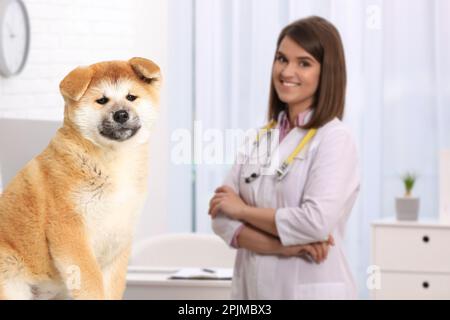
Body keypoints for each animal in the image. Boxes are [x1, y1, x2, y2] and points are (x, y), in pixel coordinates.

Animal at [0, 57, 162, 300]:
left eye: (131, 97)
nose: (121, 114)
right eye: (102, 100)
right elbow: (90, 282)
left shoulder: (118, 240)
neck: (113, 161)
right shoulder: (70, 230)